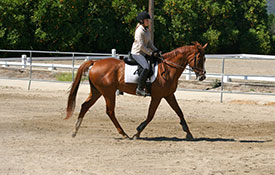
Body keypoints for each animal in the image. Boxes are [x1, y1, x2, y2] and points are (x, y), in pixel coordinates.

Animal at [65, 41, 207, 139]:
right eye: (200, 58)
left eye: (205, 58)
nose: (202, 76)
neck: (168, 68)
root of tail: (95, 62)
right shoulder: (157, 96)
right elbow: (150, 115)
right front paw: (137, 133)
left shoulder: (169, 95)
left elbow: (180, 112)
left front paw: (188, 133)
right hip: (108, 92)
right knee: (110, 111)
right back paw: (124, 134)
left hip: (97, 91)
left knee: (85, 106)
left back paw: (74, 131)